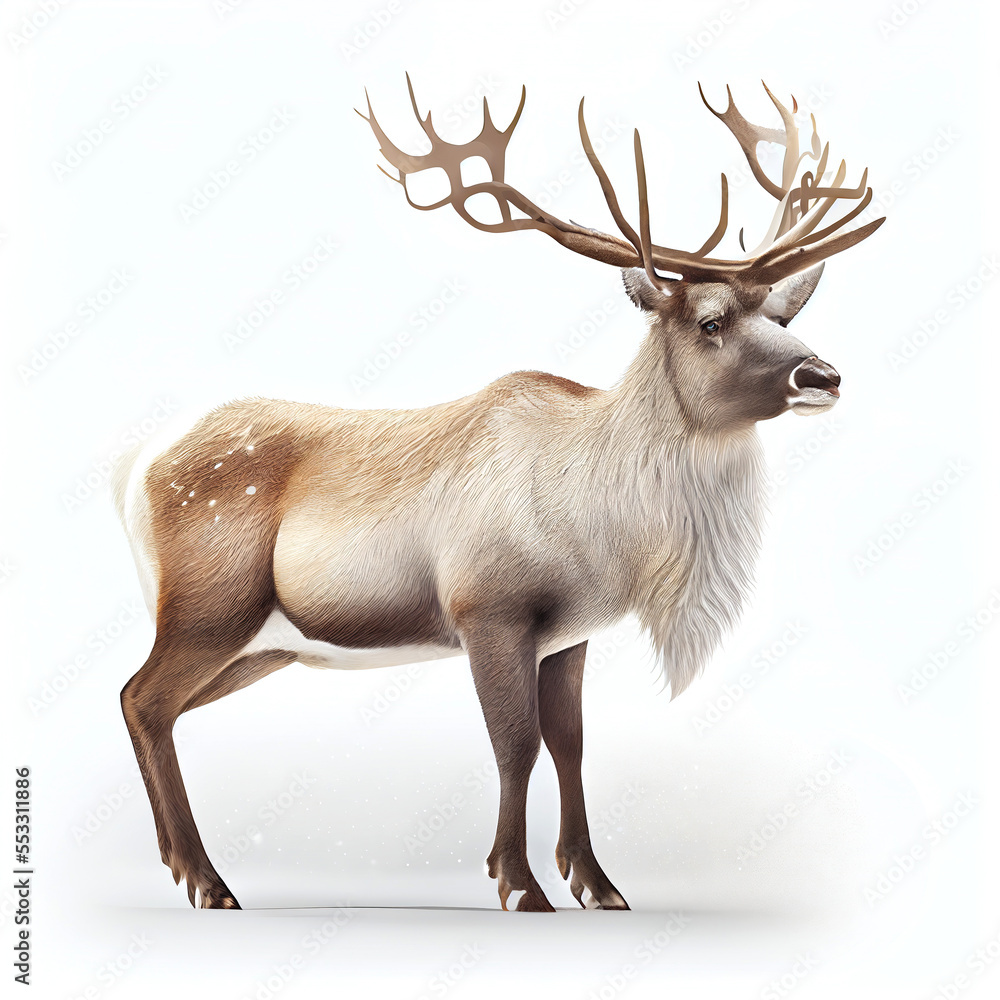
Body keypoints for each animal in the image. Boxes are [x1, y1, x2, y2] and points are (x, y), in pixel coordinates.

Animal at [112, 78, 882, 911]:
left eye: (782, 313)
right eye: (711, 321)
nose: (824, 376)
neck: (609, 534)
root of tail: (134, 470)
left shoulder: (570, 633)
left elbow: (571, 745)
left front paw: (597, 884)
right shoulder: (488, 609)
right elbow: (516, 746)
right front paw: (520, 885)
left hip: (262, 646)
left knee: (154, 706)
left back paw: (184, 867)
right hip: (209, 607)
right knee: (141, 696)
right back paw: (207, 880)